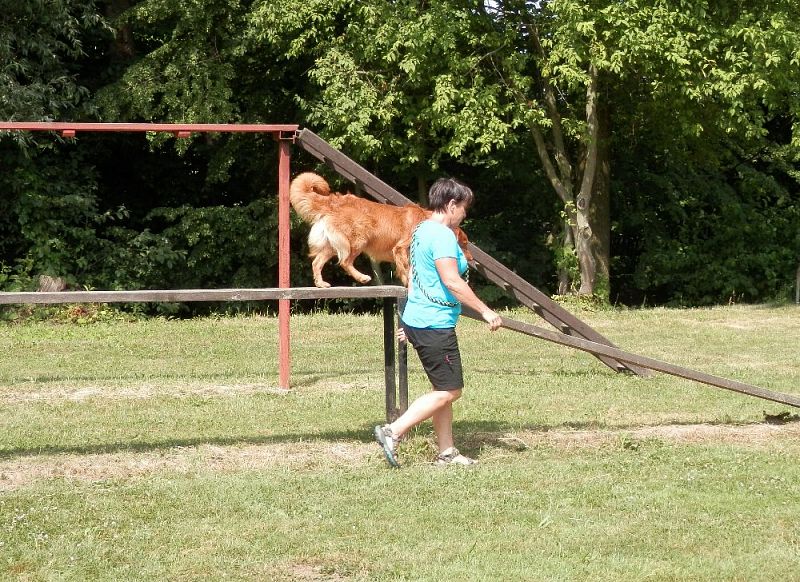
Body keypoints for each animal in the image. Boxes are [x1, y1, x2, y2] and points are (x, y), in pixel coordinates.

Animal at [290, 173, 472, 290]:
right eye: (464, 244)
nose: (472, 260)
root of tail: (335, 201)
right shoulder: (401, 247)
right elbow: (406, 268)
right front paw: (408, 284)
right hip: (358, 239)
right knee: (345, 262)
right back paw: (362, 277)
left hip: (332, 244)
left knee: (317, 262)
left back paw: (321, 284)